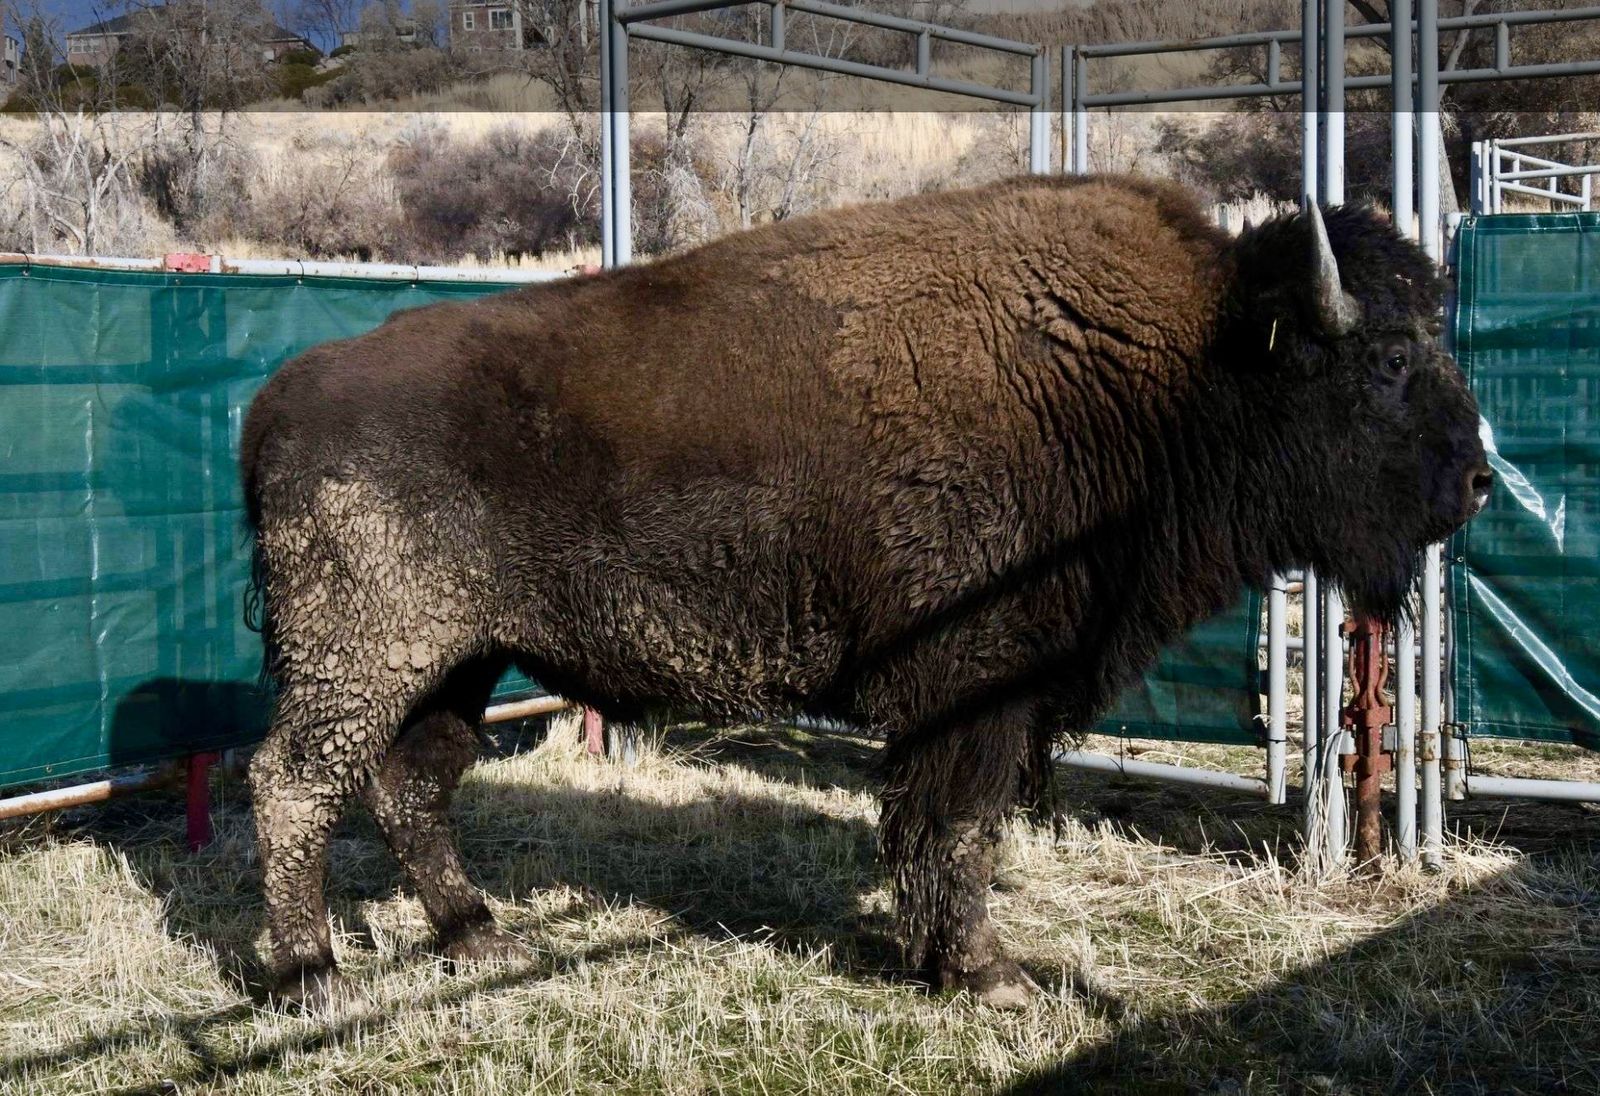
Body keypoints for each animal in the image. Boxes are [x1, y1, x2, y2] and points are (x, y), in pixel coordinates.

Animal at [241, 175, 1490, 1008]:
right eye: (1387, 359)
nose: (1477, 479)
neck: (1182, 369)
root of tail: (274, 401)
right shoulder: (974, 690)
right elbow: (958, 823)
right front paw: (986, 974)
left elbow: (942, 826)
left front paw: (942, 959)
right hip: (369, 653)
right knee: (295, 780)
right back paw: (309, 974)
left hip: (460, 658)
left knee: (412, 783)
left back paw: (480, 938)